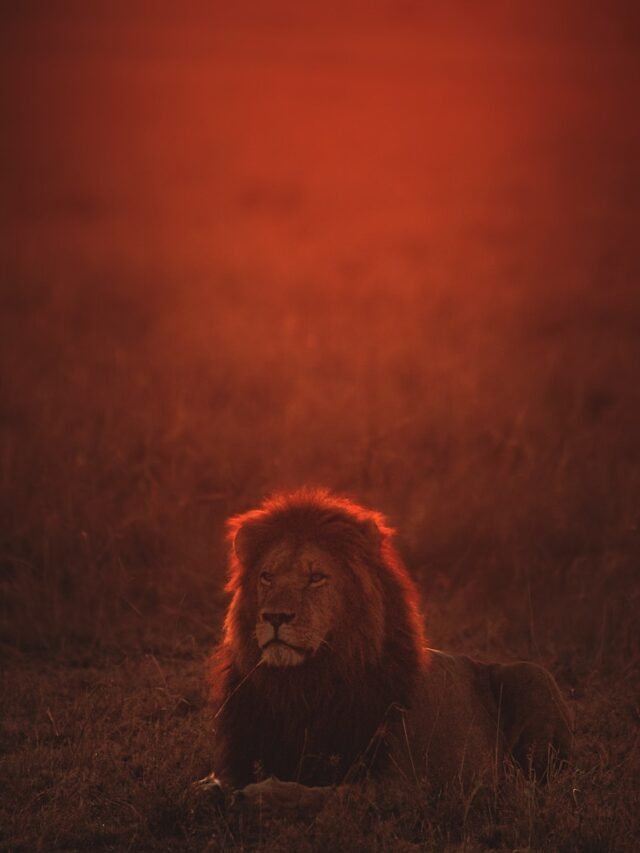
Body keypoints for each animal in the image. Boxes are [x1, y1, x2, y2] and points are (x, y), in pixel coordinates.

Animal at [196, 488, 572, 812]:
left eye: (316, 578)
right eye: (267, 576)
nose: (275, 616)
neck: (303, 686)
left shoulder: (405, 784)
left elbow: (330, 794)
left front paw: (264, 794)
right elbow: (207, 786)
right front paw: (220, 791)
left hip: (532, 675)